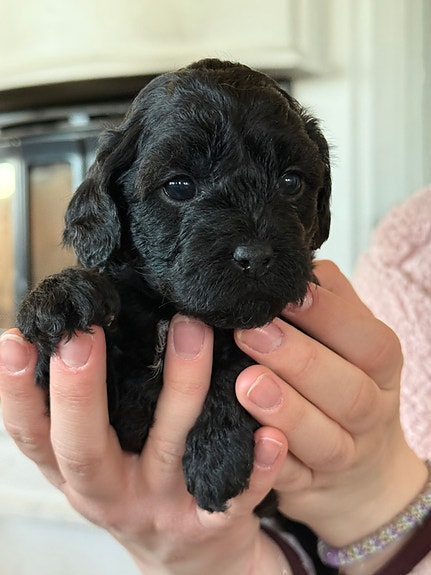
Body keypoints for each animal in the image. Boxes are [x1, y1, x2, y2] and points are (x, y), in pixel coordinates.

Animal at [17, 58, 331, 516]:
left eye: (290, 182)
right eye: (179, 186)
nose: (255, 255)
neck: (167, 310)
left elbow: (241, 361)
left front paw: (216, 456)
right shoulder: (115, 417)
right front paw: (60, 296)